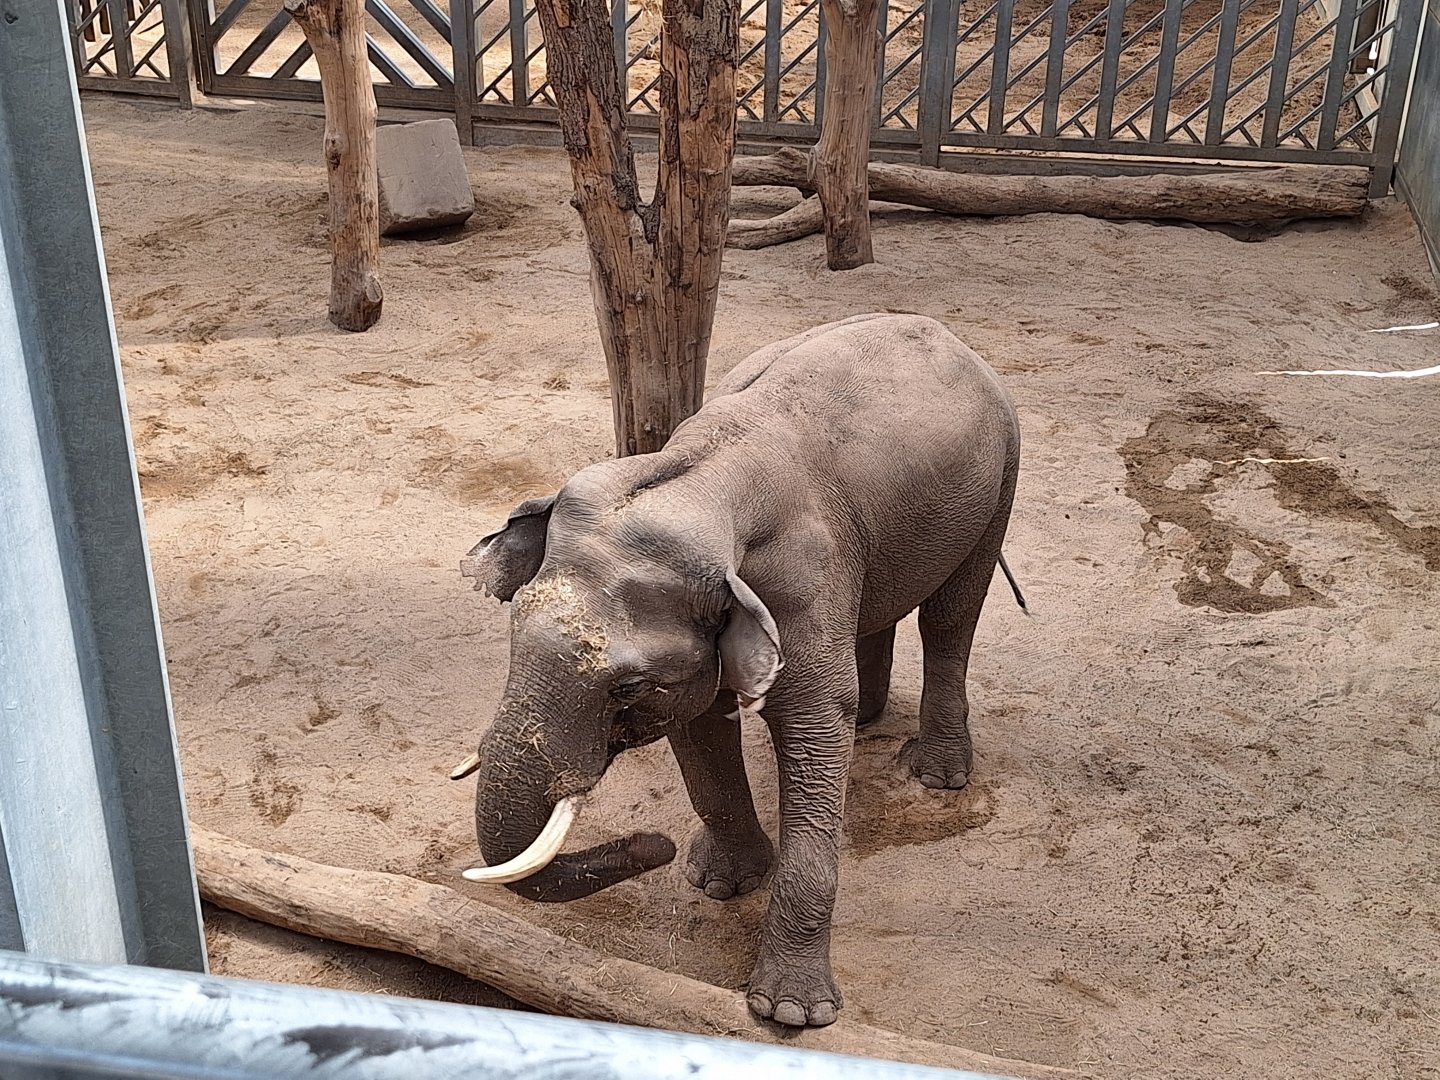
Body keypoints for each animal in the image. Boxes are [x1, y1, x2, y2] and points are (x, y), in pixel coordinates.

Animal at [450, 313, 1023, 1028]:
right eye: (512, 634)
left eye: (627, 687)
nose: (655, 845)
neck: (697, 479)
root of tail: (946, 333)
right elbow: (700, 726)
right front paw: (720, 882)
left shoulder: (800, 583)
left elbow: (815, 729)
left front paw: (790, 1013)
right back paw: (870, 717)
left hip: (1000, 480)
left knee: (951, 617)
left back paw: (938, 774)